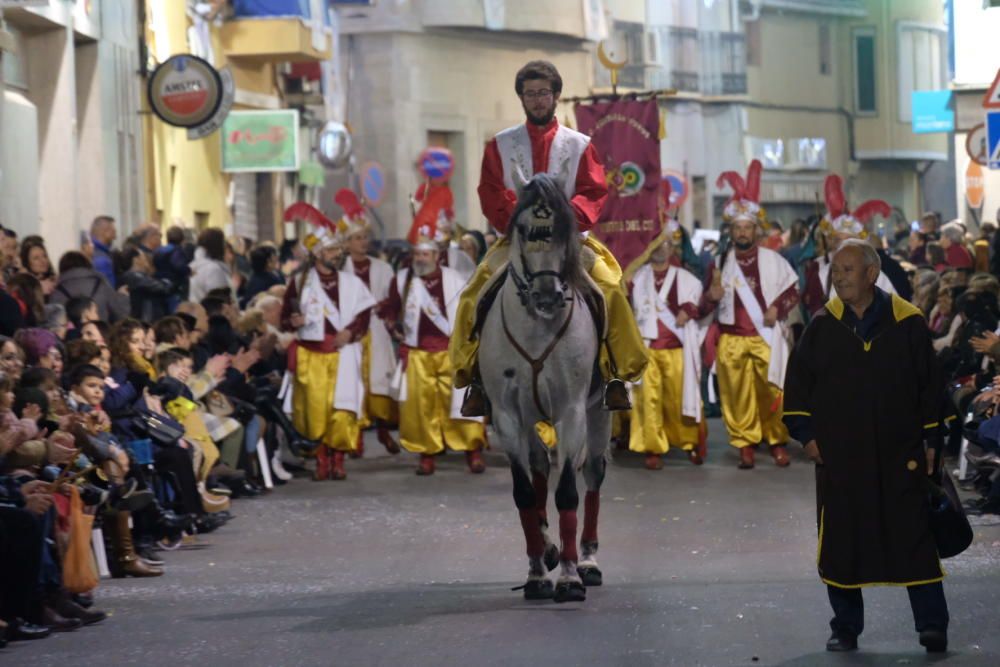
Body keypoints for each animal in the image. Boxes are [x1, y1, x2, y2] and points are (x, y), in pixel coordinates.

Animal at [476, 172, 608, 604]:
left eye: (564, 229)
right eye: (522, 230)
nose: (548, 296)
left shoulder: (571, 411)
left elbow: (567, 491)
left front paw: (569, 577)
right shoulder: (506, 415)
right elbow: (524, 493)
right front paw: (536, 572)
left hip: (599, 413)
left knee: (593, 475)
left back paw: (587, 561)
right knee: (537, 469)